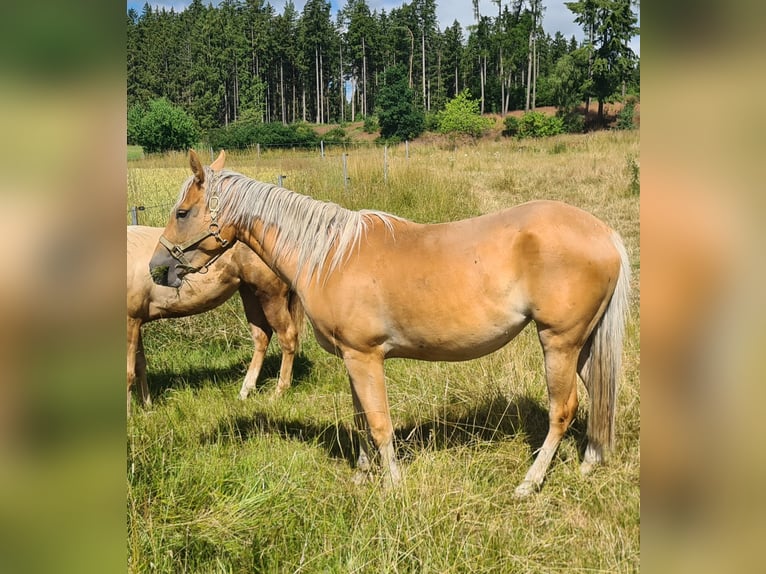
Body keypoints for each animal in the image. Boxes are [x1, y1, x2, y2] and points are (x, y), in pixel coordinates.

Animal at [127, 225, 304, 415]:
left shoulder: (130, 322)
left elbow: (129, 372)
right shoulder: (136, 321)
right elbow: (140, 366)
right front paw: (147, 407)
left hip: (271, 295)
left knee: (287, 337)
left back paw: (278, 393)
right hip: (250, 293)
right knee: (262, 337)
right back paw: (245, 391)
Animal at [149, 150, 630, 497]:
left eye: (182, 213)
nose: (157, 269)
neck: (329, 255)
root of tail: (605, 233)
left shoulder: (365, 356)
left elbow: (379, 422)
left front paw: (394, 485)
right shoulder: (350, 357)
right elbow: (362, 418)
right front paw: (363, 475)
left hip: (559, 341)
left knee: (562, 410)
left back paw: (529, 484)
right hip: (583, 344)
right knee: (597, 393)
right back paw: (589, 462)